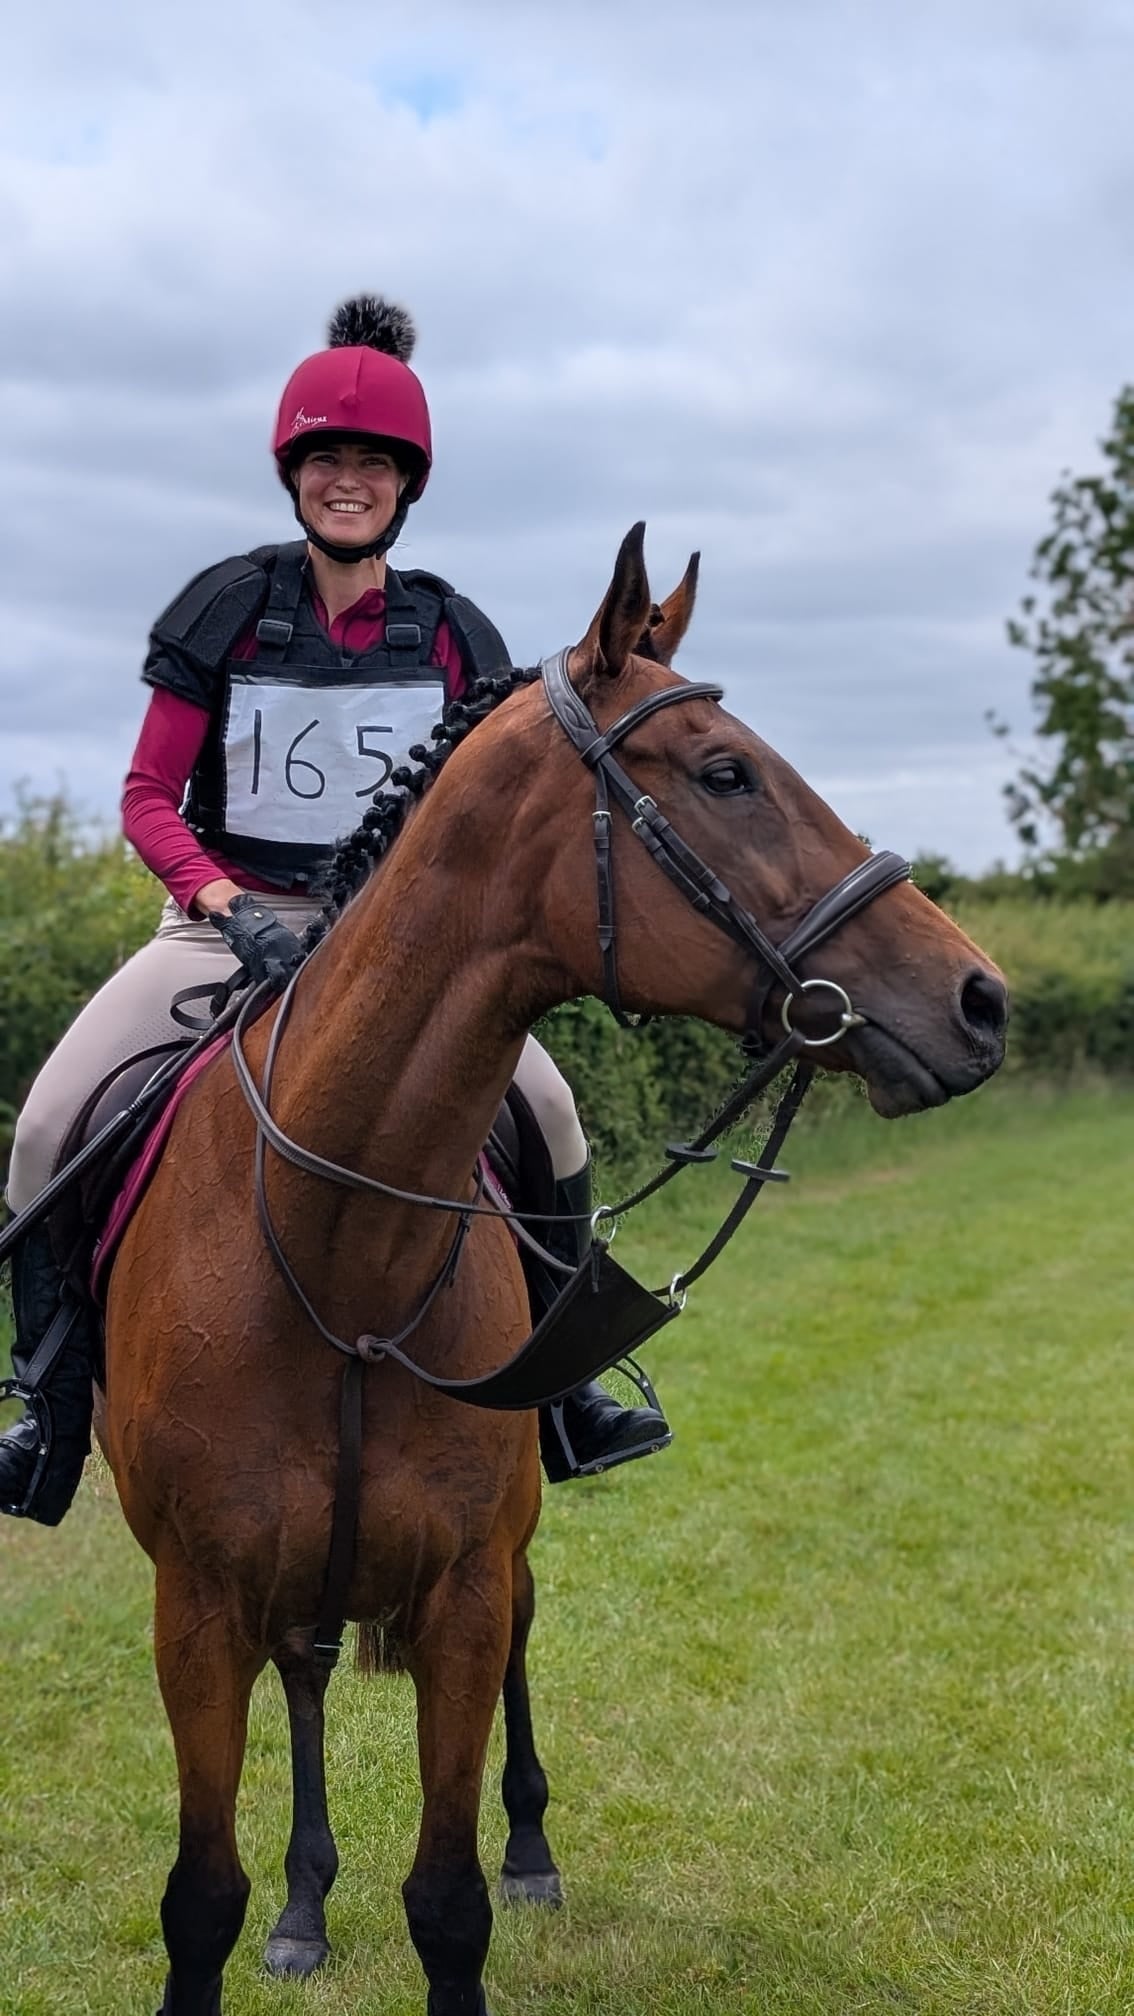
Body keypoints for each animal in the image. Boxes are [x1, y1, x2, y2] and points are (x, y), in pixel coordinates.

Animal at [98, 524, 1007, 2015]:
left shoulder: (464, 1592)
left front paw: (493, 1869)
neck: (338, 1251)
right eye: (724, 772)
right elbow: (199, 1899)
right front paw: (272, 1903)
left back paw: (519, 1853)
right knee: (306, 1681)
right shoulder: (200, 1608)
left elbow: (449, 1897)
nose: (980, 1003)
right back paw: (305, 1904)